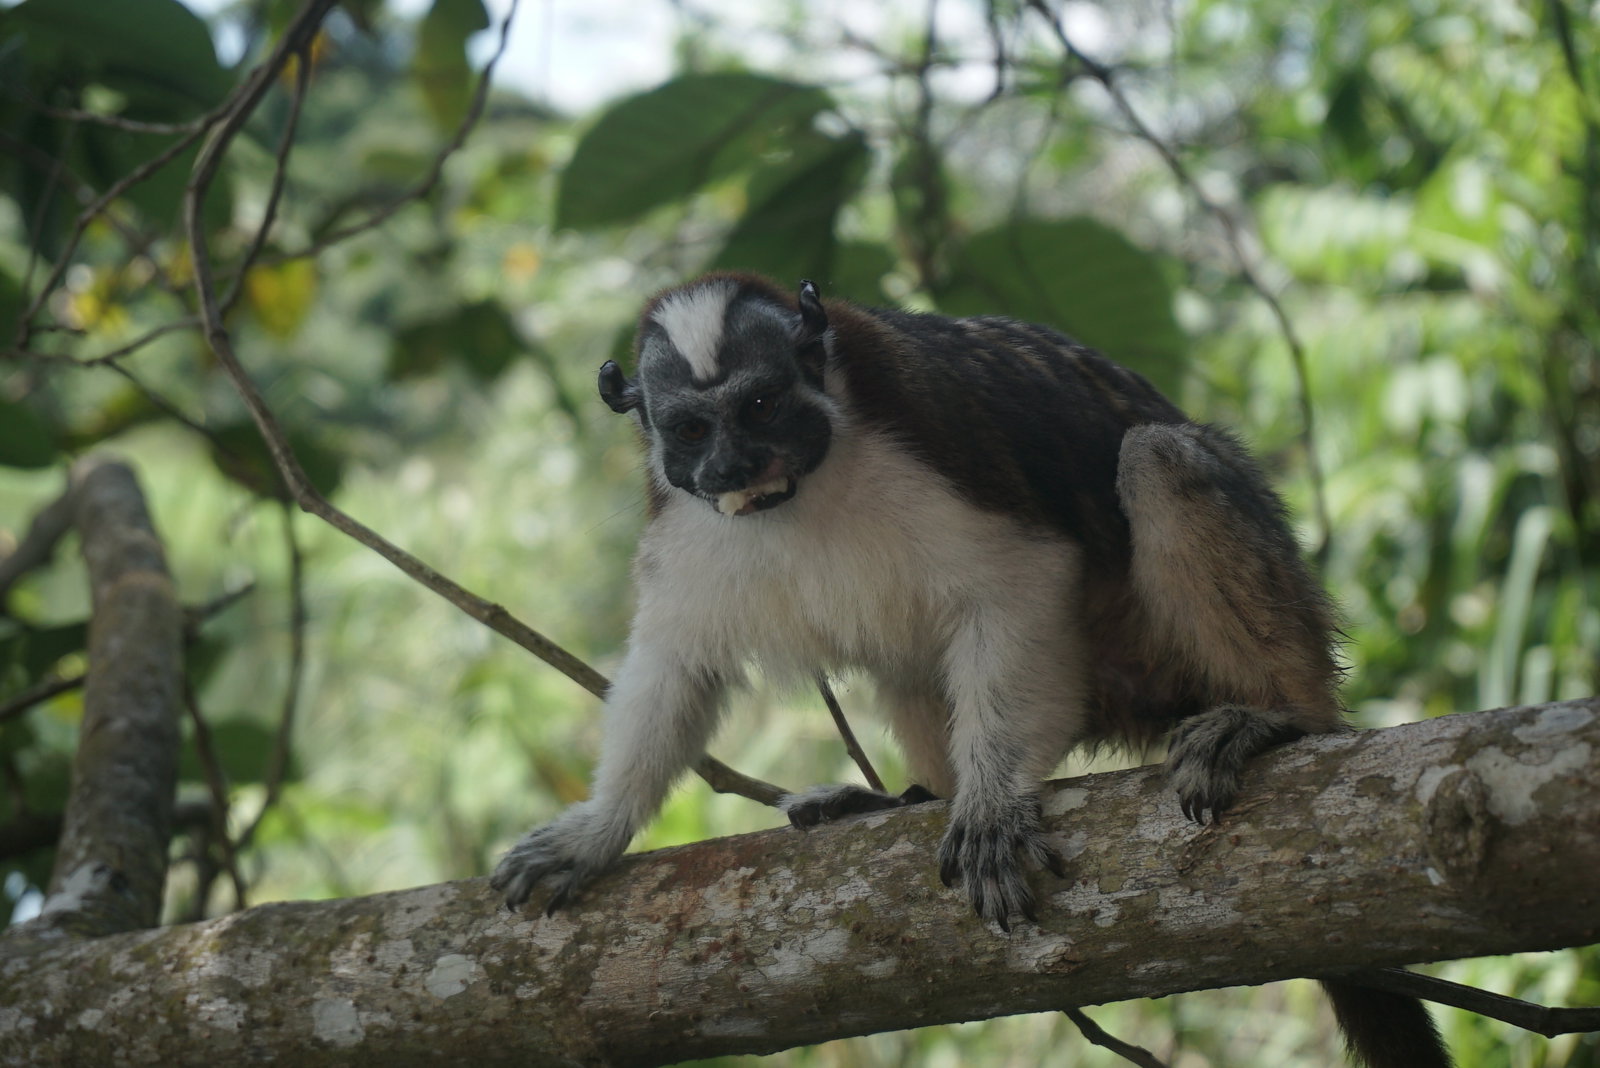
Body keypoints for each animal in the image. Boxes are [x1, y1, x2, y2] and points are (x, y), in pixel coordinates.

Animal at [490, 273, 1451, 1068]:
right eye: (691, 429)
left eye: (760, 405)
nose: (730, 464)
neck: (803, 491)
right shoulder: (685, 521)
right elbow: (678, 663)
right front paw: (595, 833)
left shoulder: (932, 448)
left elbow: (1015, 582)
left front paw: (989, 803)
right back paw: (907, 798)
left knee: (1158, 459)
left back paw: (1276, 715)